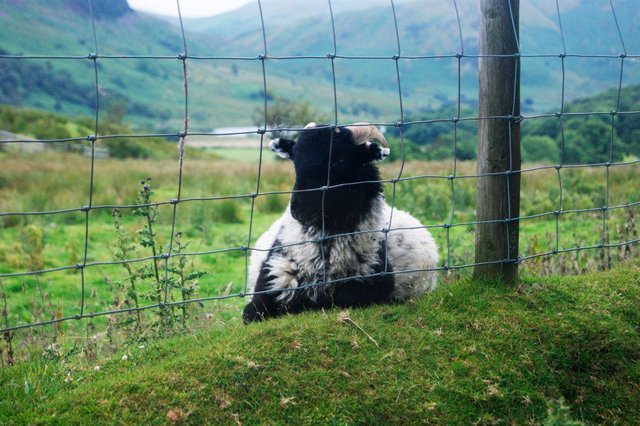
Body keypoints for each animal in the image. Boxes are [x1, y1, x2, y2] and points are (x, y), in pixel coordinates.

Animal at [242, 123, 438, 322]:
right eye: (296, 161)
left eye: (340, 161)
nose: (299, 210)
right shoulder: (271, 281)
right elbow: (249, 313)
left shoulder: (376, 282)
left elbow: (343, 298)